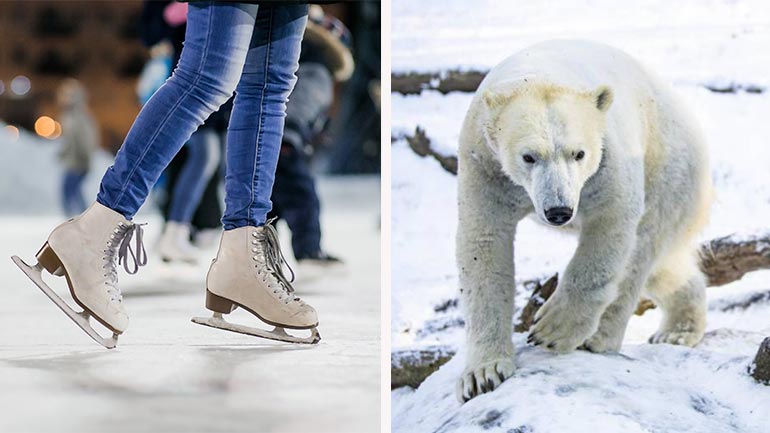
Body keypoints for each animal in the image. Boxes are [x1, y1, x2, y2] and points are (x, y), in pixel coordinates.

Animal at [452, 40, 712, 402]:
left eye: (579, 153)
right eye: (528, 156)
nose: (559, 211)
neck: (539, 75)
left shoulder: (608, 156)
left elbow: (612, 220)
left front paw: (551, 329)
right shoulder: (485, 163)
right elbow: (484, 242)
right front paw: (483, 374)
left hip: (668, 166)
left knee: (641, 250)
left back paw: (597, 338)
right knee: (665, 269)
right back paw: (677, 330)